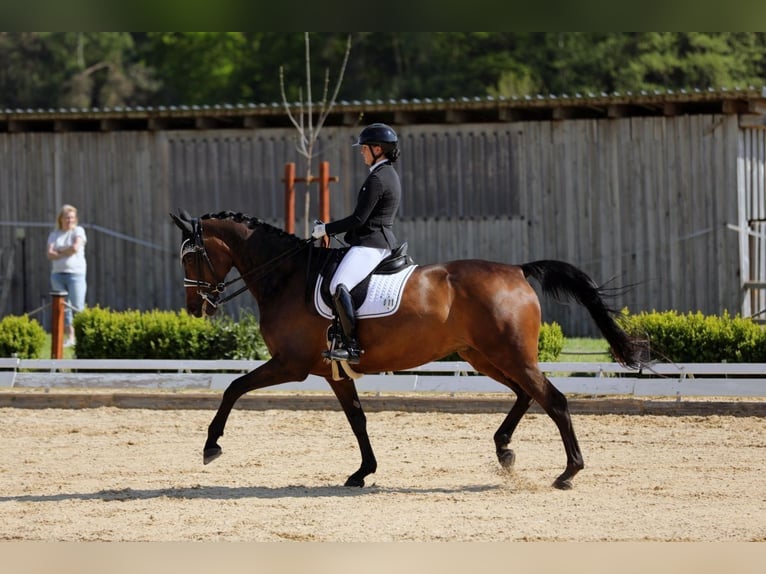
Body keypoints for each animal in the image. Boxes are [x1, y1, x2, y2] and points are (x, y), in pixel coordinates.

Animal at [172, 210, 648, 490]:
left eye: (190, 256)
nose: (196, 307)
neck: (286, 276)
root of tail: (516, 270)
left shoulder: (291, 364)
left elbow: (233, 387)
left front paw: (211, 446)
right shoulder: (332, 372)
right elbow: (358, 420)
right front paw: (362, 472)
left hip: (508, 354)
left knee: (554, 399)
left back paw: (568, 472)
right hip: (483, 355)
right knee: (525, 394)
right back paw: (504, 450)